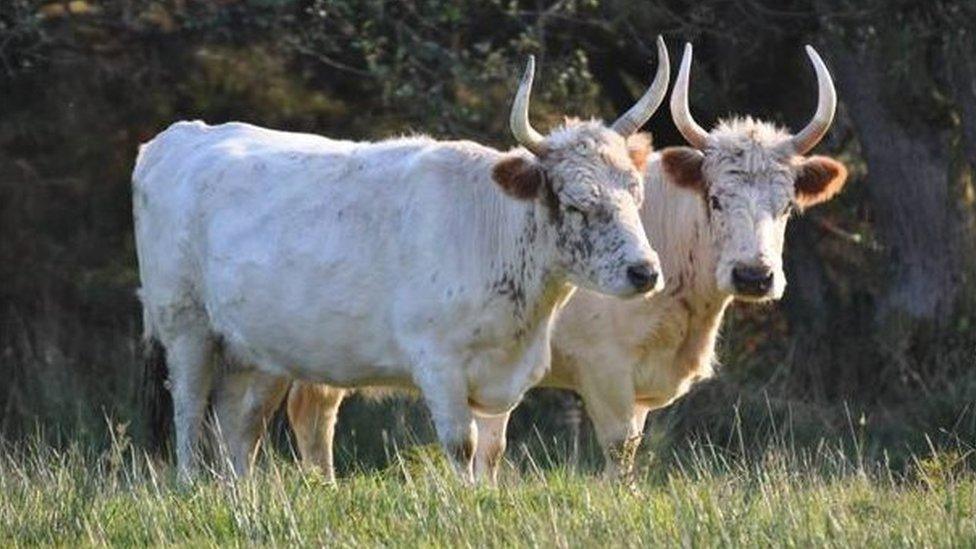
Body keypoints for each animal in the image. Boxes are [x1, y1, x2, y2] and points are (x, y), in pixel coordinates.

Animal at [135, 42, 672, 480]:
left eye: (637, 192)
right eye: (578, 203)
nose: (645, 271)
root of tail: (177, 137)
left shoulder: (501, 373)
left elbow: (492, 450)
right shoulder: (438, 363)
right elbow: (461, 446)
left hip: (250, 350)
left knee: (239, 428)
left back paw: (239, 498)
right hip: (186, 327)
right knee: (189, 414)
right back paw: (190, 487)